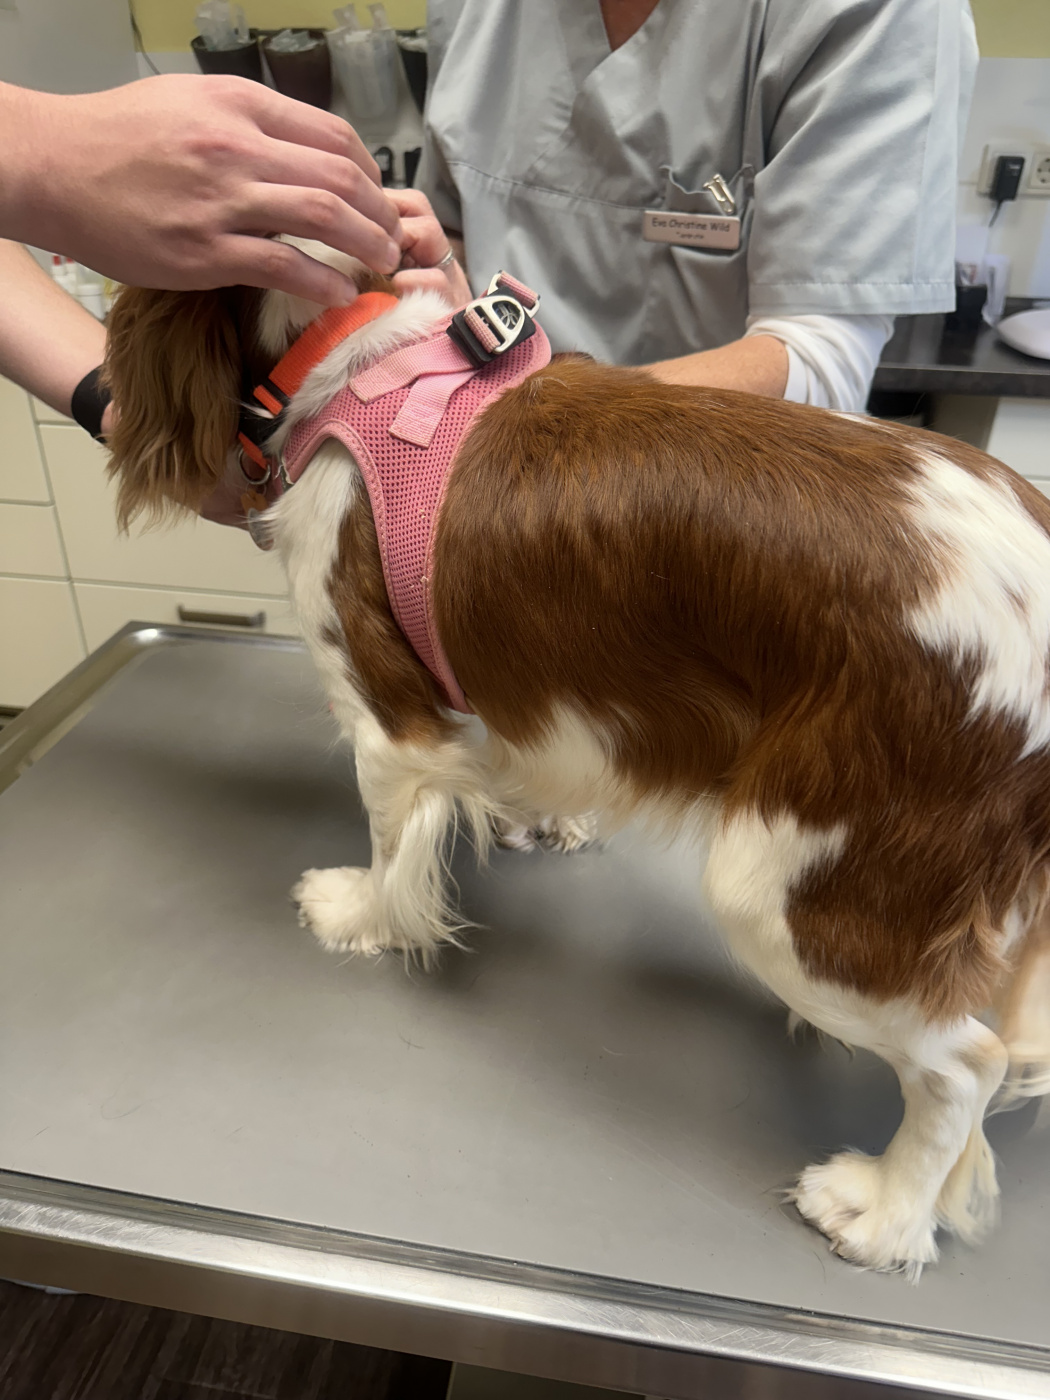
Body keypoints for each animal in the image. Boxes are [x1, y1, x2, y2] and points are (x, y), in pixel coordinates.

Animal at [104, 245, 1050, 1279]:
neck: (352, 357)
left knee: (965, 1064)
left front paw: (358, 914)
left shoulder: (386, 717)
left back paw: (882, 1213)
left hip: (797, 873)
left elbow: (390, 845)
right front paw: (538, 821)